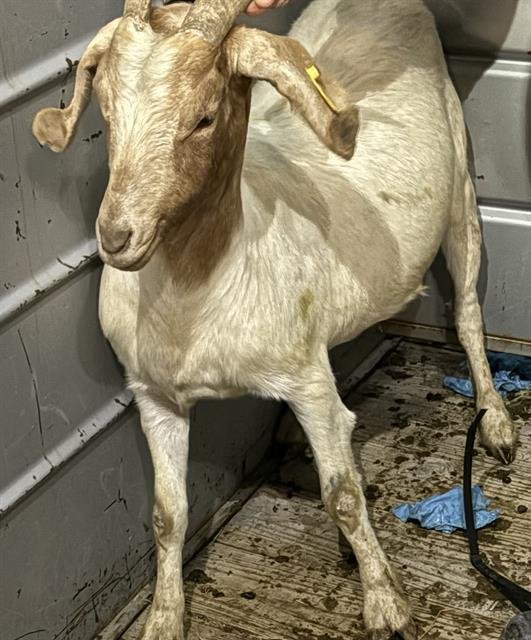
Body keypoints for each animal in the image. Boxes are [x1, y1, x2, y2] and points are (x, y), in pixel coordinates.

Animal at [32, 1, 519, 638]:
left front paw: (386, 605)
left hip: (461, 192)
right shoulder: (154, 393)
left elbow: (344, 494)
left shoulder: (307, 381)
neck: (200, 290)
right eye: (107, 110)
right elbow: (167, 514)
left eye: (205, 118)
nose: (116, 236)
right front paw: (163, 617)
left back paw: (496, 423)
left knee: (466, 313)